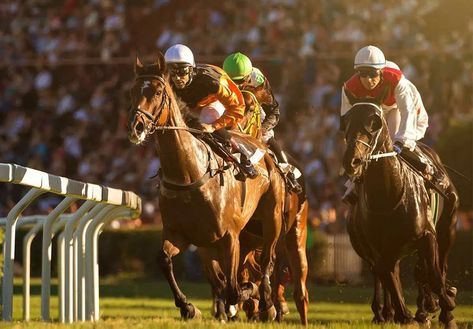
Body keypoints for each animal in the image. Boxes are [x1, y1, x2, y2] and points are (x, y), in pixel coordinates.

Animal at [127, 54, 286, 320]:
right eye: (132, 91)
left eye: (158, 92)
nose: (136, 127)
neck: (188, 174)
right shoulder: (179, 233)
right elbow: (164, 260)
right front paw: (188, 307)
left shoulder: (229, 237)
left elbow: (233, 289)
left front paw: (248, 295)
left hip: (271, 218)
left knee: (267, 261)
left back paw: (268, 305)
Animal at [340, 100, 458, 326]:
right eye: (346, 125)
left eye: (373, 125)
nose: (352, 161)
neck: (389, 194)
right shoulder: (379, 250)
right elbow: (390, 278)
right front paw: (404, 315)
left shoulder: (427, 235)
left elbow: (434, 275)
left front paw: (445, 310)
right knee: (389, 274)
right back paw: (389, 312)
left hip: (448, 227)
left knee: (437, 267)